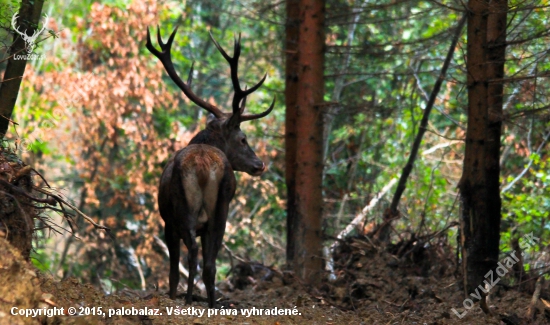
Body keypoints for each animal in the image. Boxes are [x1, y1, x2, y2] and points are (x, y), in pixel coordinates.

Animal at [147, 26, 276, 308]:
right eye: (243, 139)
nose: (260, 164)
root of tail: (205, 168)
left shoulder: (168, 222)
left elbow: (174, 270)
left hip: (184, 210)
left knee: (192, 256)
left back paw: (187, 299)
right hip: (220, 208)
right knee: (209, 264)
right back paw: (210, 302)